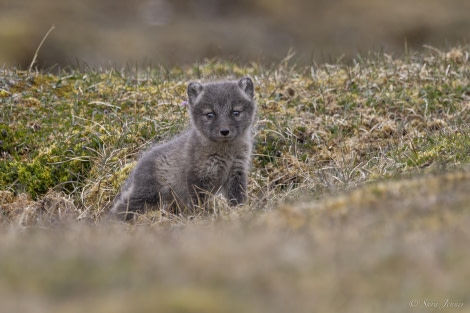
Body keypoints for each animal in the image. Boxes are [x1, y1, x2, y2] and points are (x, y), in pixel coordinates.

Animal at [109, 76, 258, 218]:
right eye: (210, 114)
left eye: (236, 112)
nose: (224, 131)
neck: (226, 154)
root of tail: (139, 163)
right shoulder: (196, 177)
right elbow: (198, 202)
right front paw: (201, 217)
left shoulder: (237, 172)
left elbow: (238, 198)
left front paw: (240, 211)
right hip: (148, 194)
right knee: (121, 208)